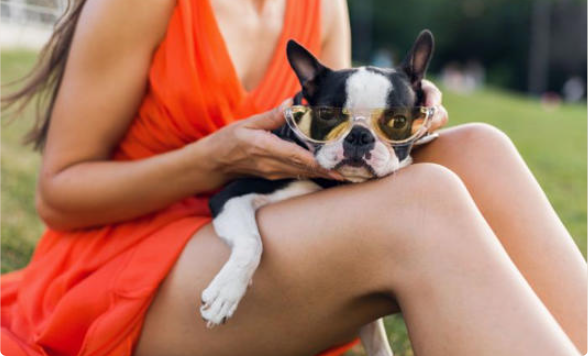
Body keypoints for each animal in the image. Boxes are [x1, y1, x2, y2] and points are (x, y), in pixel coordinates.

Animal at [202, 31, 436, 356]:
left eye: (398, 121)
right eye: (327, 115)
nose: (359, 136)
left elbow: (378, 340)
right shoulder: (231, 196)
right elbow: (251, 242)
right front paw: (226, 292)